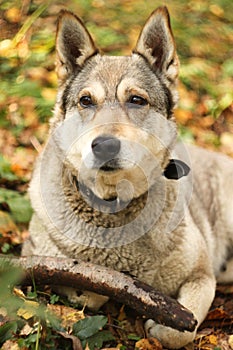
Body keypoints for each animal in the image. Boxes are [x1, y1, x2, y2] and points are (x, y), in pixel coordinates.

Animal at [22, 6, 233, 348]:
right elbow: (89, 292)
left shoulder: (202, 275)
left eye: (136, 100)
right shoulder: (36, 257)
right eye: (86, 101)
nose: (105, 145)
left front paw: (162, 326)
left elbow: (183, 326)